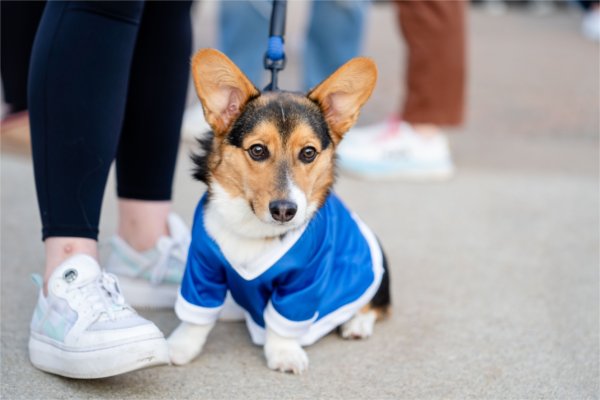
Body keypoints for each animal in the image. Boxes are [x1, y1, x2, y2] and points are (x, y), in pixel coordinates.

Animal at [166, 50, 392, 376]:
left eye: (308, 153)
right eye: (258, 150)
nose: (285, 210)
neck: (252, 227)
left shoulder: (304, 280)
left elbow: (283, 323)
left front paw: (284, 353)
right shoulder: (201, 266)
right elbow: (196, 316)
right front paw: (180, 346)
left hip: (375, 270)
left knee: (378, 304)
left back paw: (357, 323)